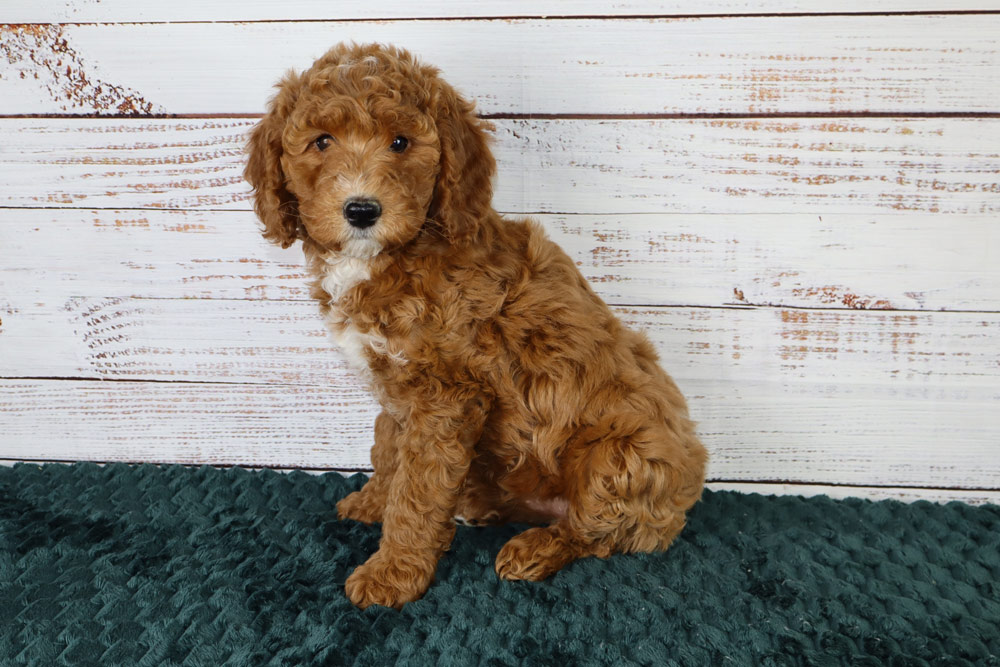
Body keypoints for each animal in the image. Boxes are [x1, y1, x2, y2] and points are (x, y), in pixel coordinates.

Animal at [245, 43, 707, 610]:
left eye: (400, 143)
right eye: (321, 142)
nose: (361, 210)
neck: (393, 256)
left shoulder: (447, 393)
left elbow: (418, 489)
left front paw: (392, 572)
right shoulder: (398, 387)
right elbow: (388, 448)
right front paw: (373, 503)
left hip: (624, 454)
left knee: (602, 530)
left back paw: (534, 549)